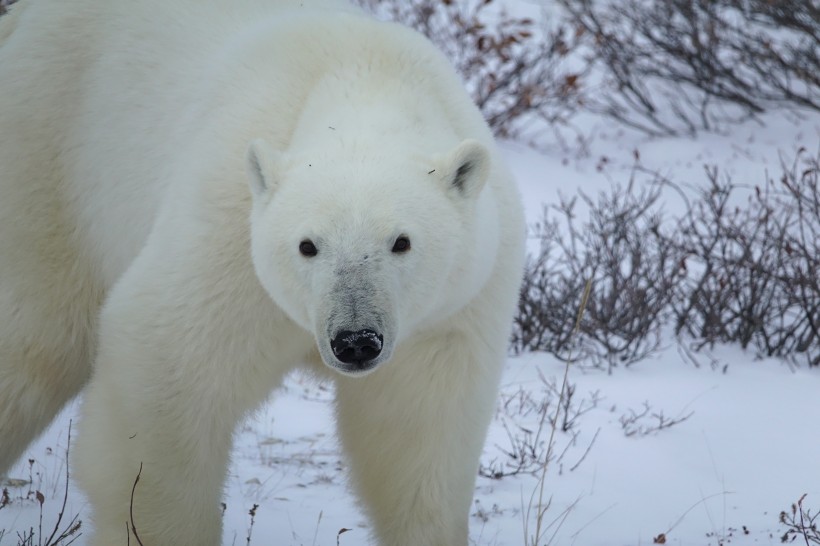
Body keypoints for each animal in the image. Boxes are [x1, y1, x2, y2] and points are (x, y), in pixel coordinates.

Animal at [0, 0, 524, 540]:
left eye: (401, 242)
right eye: (307, 246)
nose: (355, 341)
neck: (367, 77)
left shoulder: (450, 310)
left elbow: (419, 435)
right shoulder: (228, 235)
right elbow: (167, 374)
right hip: (49, 156)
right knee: (35, 344)